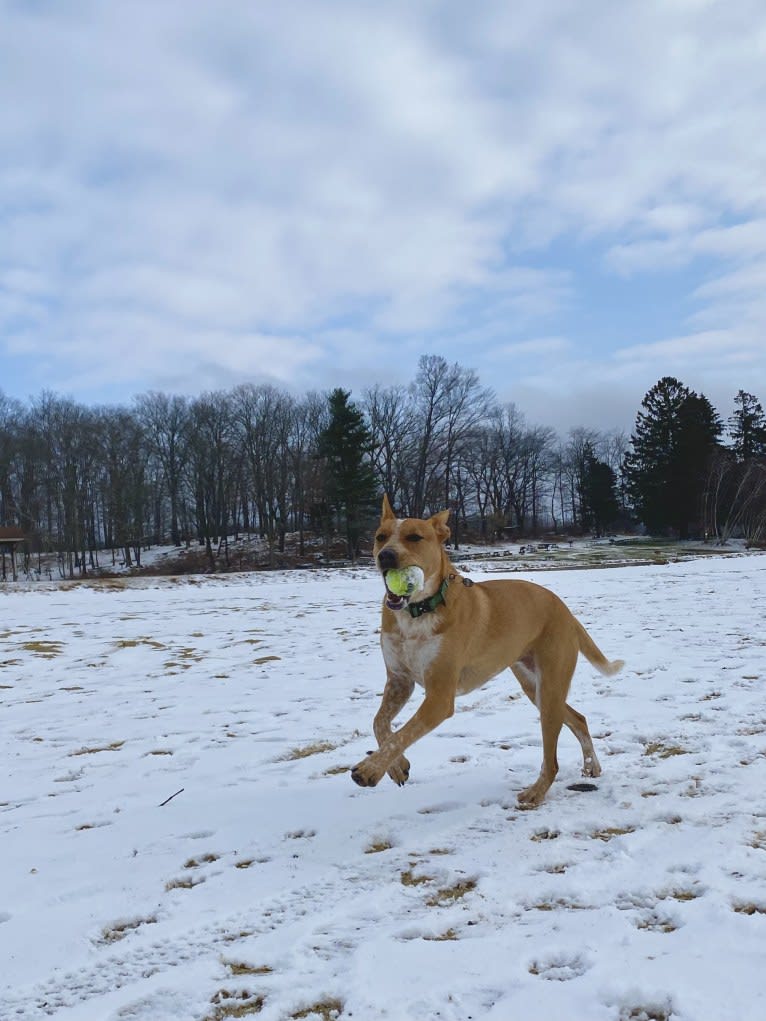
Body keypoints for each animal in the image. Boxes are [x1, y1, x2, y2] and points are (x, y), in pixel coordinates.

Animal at [351, 494, 625, 804]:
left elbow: (403, 733)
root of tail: (566, 611)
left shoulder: (439, 696)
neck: (417, 612)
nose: (385, 555)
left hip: (550, 687)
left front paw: (370, 769)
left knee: (551, 760)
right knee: (579, 718)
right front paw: (396, 766)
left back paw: (536, 792)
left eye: (414, 537)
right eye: (380, 537)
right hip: (535, 688)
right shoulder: (399, 680)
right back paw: (592, 766)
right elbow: (380, 724)